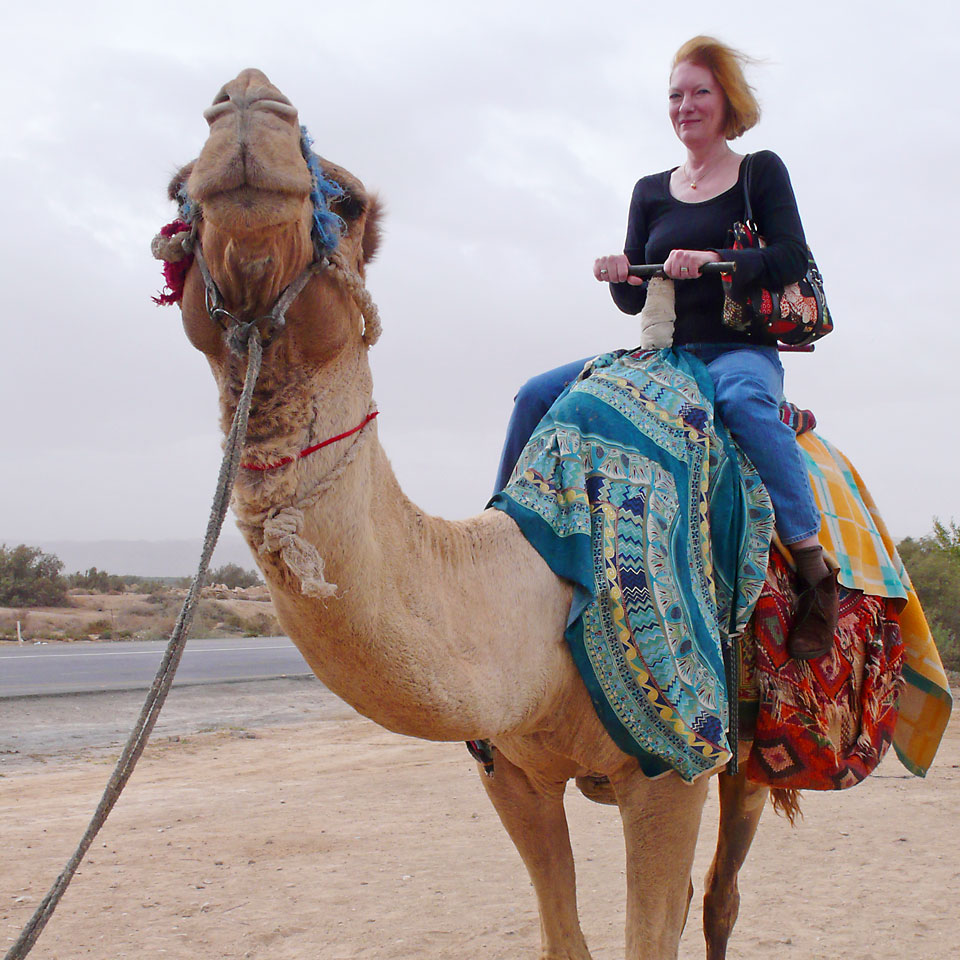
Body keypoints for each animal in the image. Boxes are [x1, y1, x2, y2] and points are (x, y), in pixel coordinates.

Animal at [169, 69, 772, 960]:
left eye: (346, 202)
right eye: (177, 195)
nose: (249, 100)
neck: (539, 600)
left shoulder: (673, 769)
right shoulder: (508, 772)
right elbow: (562, 938)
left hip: (753, 744)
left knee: (724, 894)